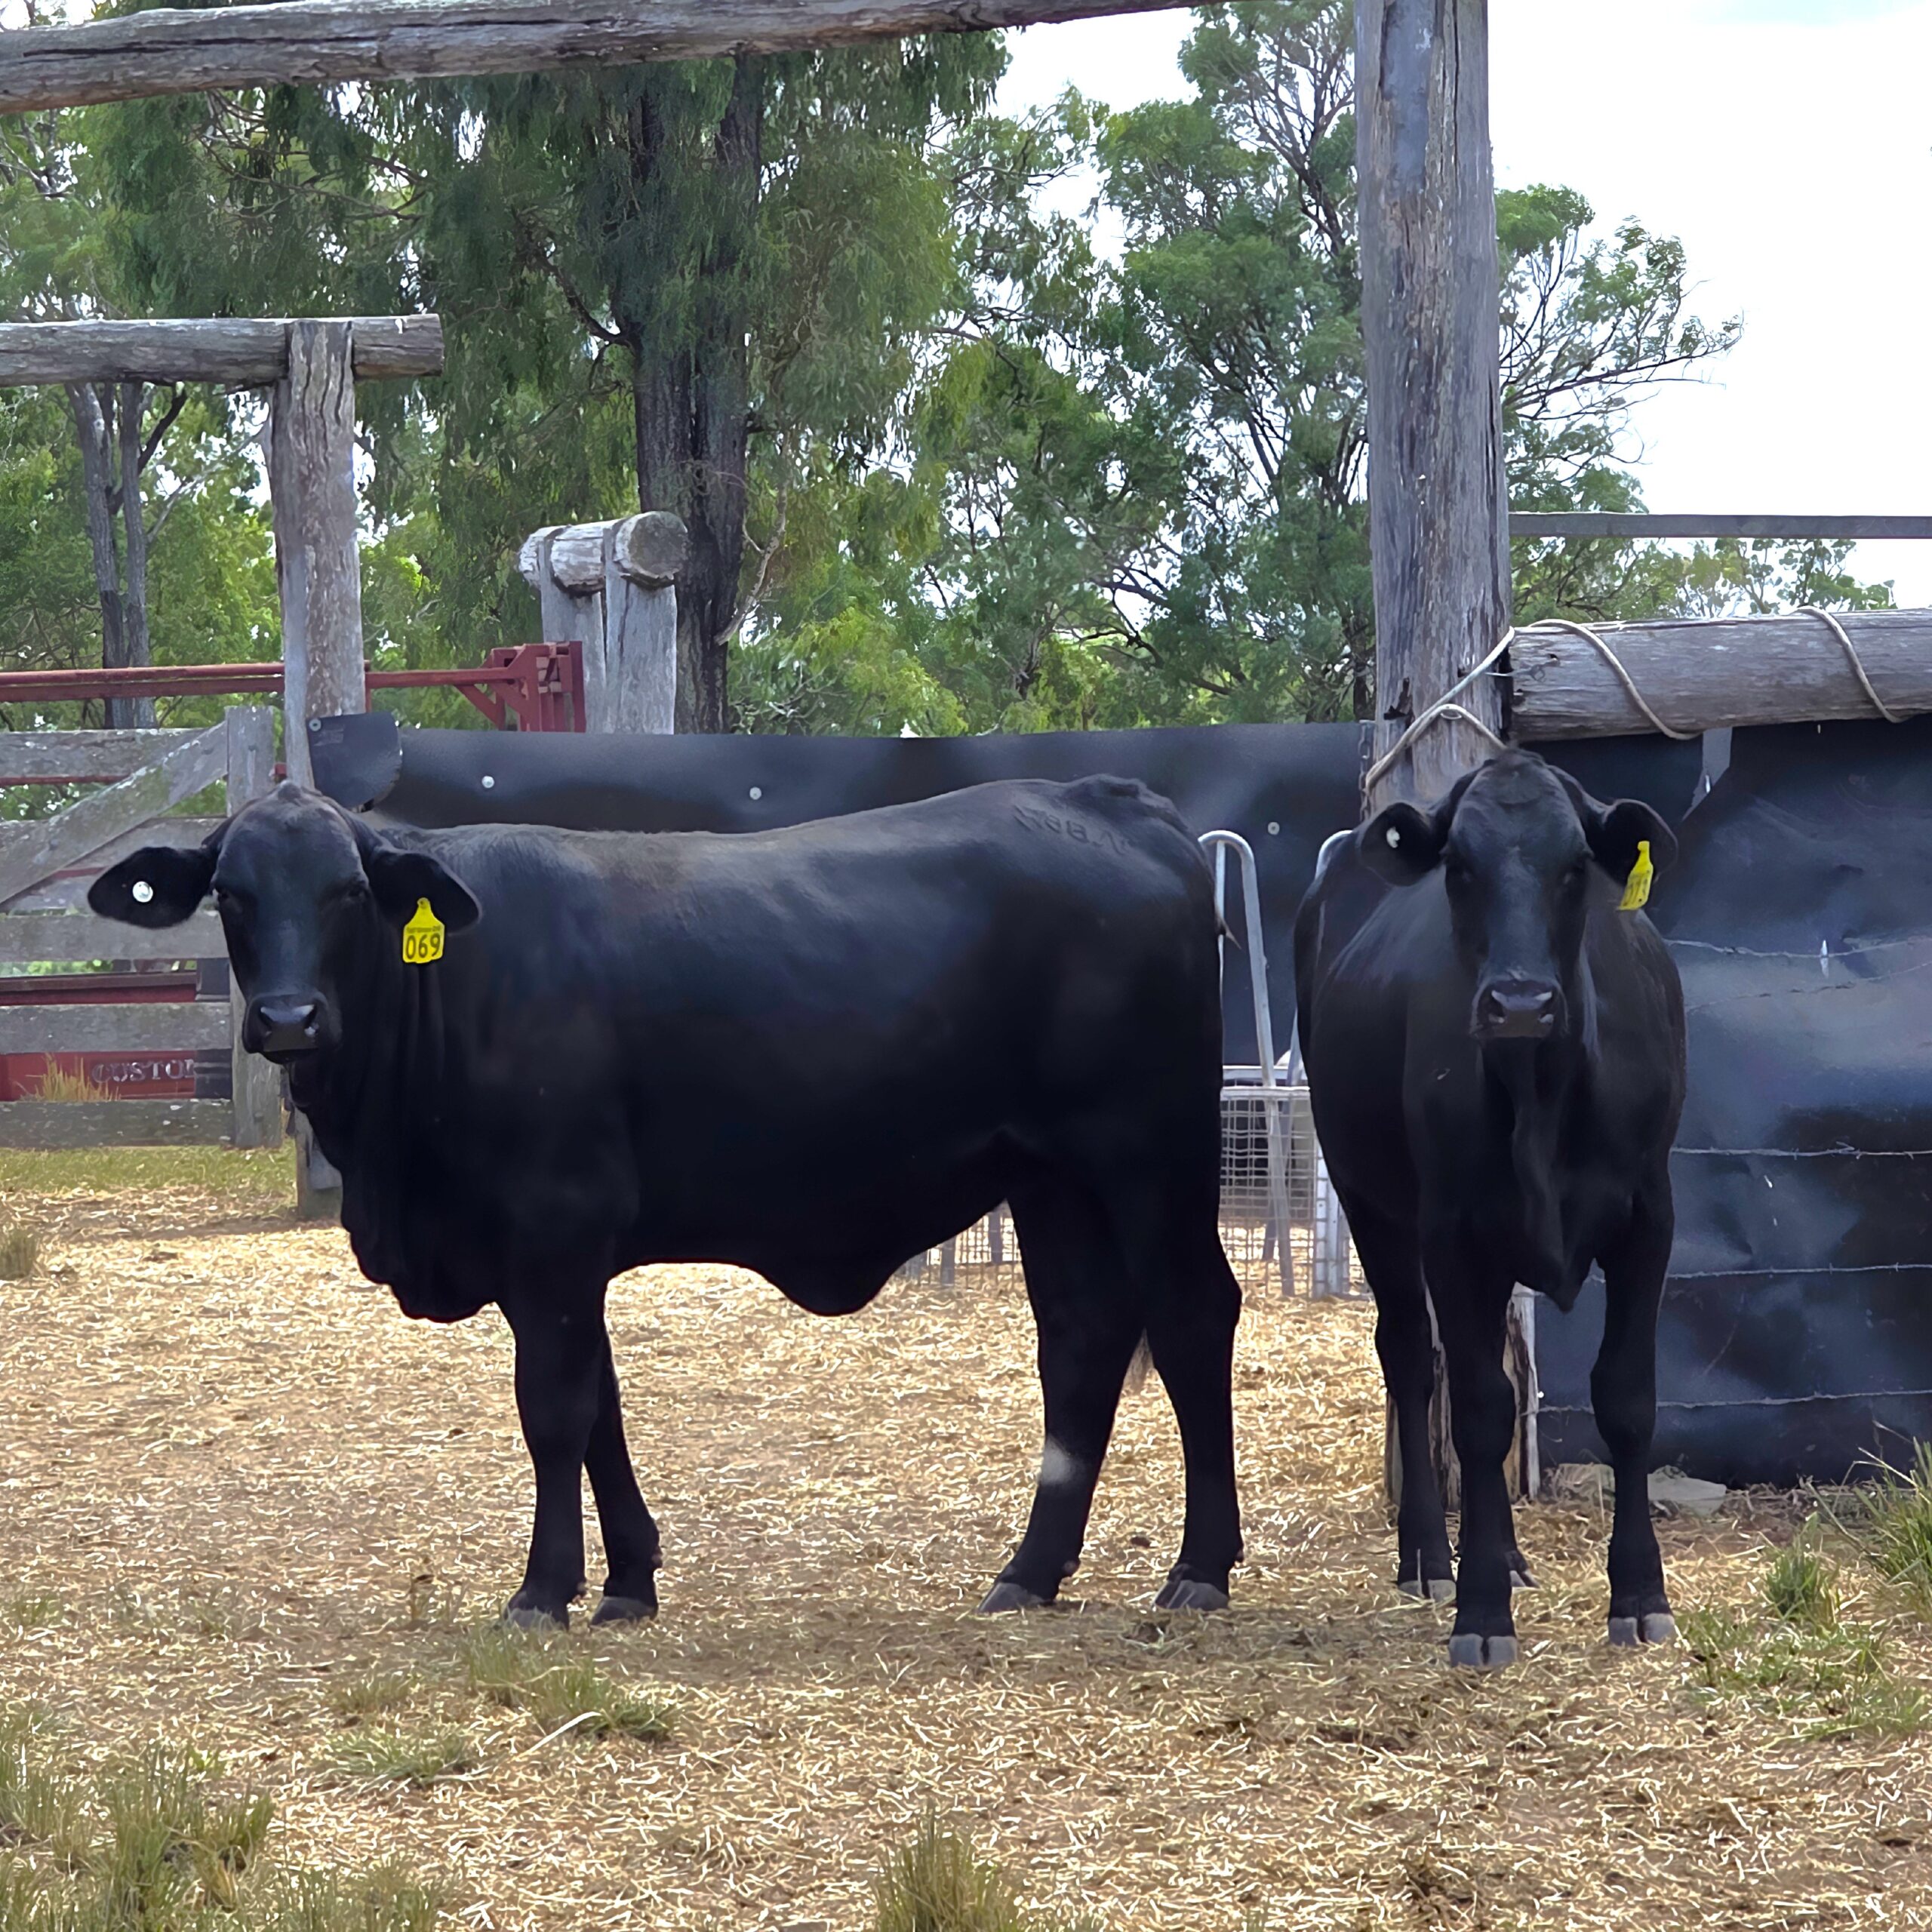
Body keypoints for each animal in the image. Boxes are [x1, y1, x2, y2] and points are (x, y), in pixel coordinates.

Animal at [90, 778, 1243, 1627]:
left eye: (346, 891)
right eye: (232, 895)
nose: (289, 1019)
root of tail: (1114, 803)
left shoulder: (554, 1230)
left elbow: (554, 1410)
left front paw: (543, 1590)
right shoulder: (556, 1259)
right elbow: (601, 1407)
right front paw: (628, 1582)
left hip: (1150, 1156)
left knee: (1192, 1317)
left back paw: (1199, 1568)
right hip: (1052, 1179)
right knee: (1083, 1337)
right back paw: (1030, 1572)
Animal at [1293, 749, 1685, 1667]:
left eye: (1574, 865)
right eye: (1459, 868)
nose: (1519, 1003)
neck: (1540, 1094)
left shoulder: (1649, 1216)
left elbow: (1626, 1399)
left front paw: (1639, 1594)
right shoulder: (1453, 1233)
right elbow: (1475, 1410)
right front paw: (1478, 1611)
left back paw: (1501, 1552)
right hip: (1369, 1199)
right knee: (1409, 1354)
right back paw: (1433, 1557)